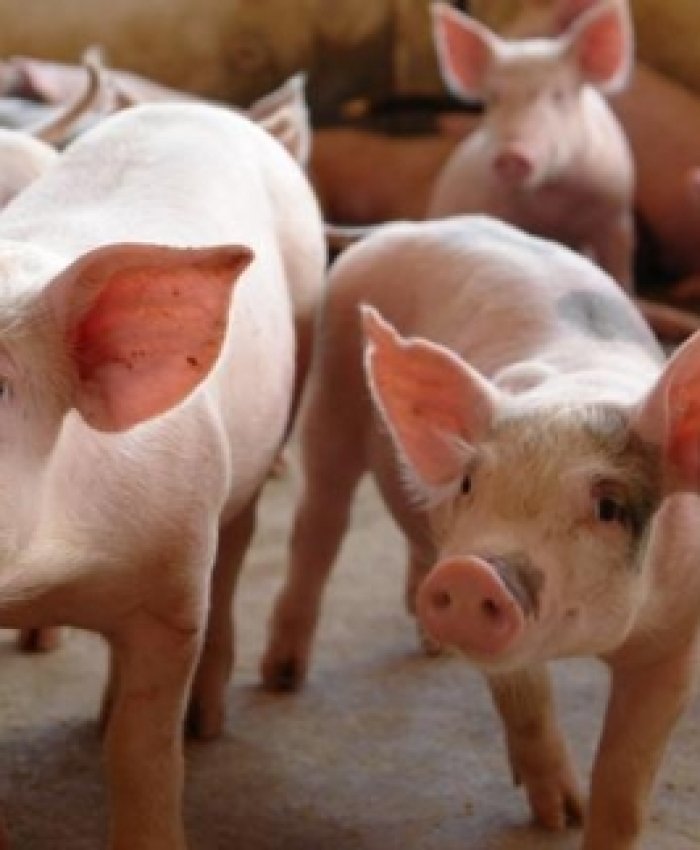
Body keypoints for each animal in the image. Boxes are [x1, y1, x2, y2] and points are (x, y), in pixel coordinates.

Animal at [262, 214, 700, 849]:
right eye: (471, 481)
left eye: (609, 506)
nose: (473, 574)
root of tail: (399, 227)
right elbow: (527, 700)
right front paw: (558, 817)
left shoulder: (675, 640)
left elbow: (625, 786)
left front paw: (579, 819)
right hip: (331, 396)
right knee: (319, 525)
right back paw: (281, 677)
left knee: (413, 533)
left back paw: (432, 645)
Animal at [427, 0, 636, 291]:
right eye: (493, 98)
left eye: (558, 95)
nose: (512, 154)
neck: (552, 197)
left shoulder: (616, 213)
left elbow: (619, 268)